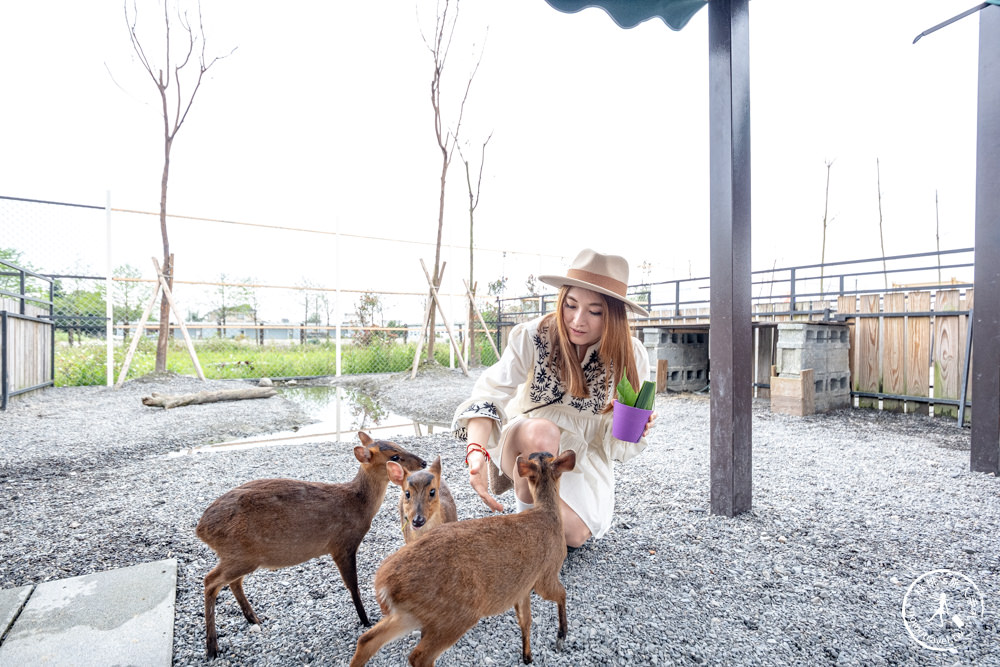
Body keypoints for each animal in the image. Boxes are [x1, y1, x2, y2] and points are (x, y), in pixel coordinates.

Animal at [195, 434, 426, 656]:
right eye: (394, 456)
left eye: (399, 444)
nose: (423, 462)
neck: (358, 505)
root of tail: (201, 529)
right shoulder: (343, 543)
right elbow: (353, 585)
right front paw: (365, 620)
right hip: (240, 554)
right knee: (210, 581)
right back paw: (212, 647)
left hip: (241, 556)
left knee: (233, 582)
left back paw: (253, 618)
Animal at [352, 448, 576, 667]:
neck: (548, 516)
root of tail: (383, 584)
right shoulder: (546, 573)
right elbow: (562, 593)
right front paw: (561, 636)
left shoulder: (522, 586)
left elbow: (525, 620)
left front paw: (527, 656)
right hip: (456, 613)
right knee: (419, 656)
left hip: (412, 613)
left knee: (366, 640)